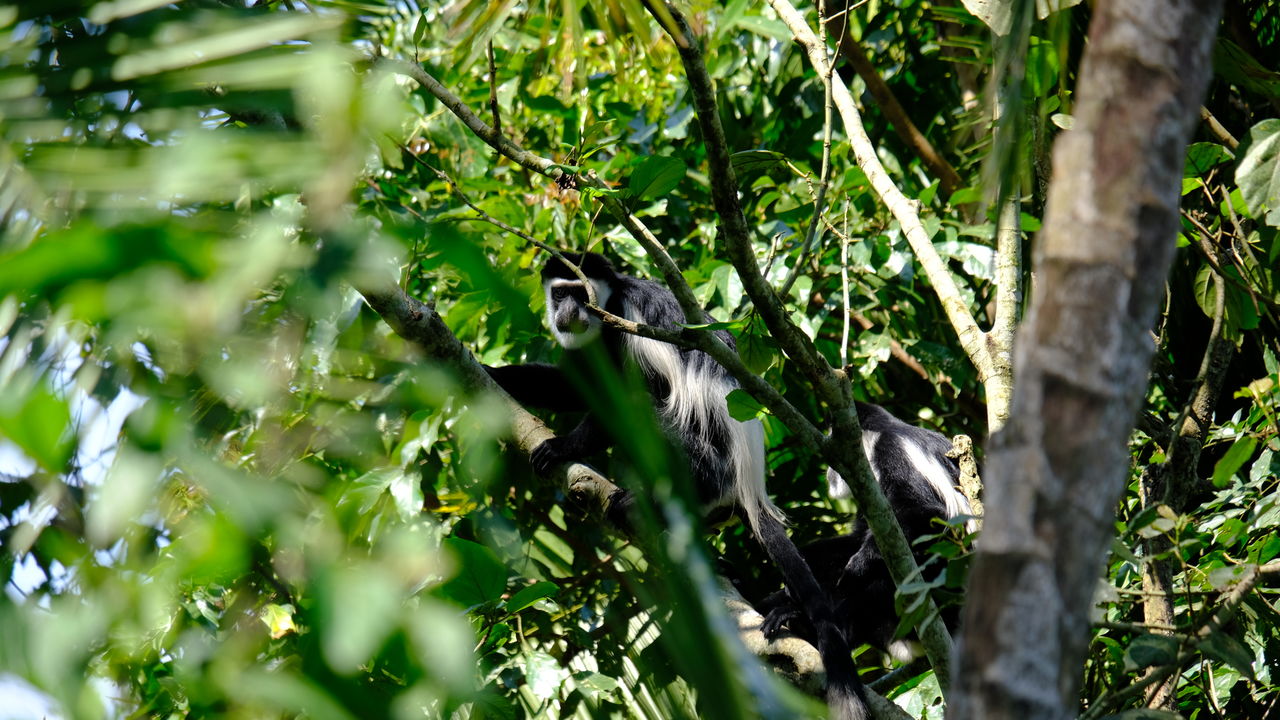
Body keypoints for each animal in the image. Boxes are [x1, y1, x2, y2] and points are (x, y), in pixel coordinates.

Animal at [488, 251, 870, 717]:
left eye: (581, 293)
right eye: (560, 293)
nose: (568, 313)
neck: (608, 306)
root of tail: (749, 484)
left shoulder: (626, 328)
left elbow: (622, 398)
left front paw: (562, 446)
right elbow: (574, 387)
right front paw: (490, 372)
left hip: (706, 459)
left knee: (650, 409)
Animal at [752, 399, 972, 661]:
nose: (828, 472)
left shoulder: (892, 452)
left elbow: (927, 513)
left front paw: (857, 567)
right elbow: (857, 537)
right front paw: (804, 564)